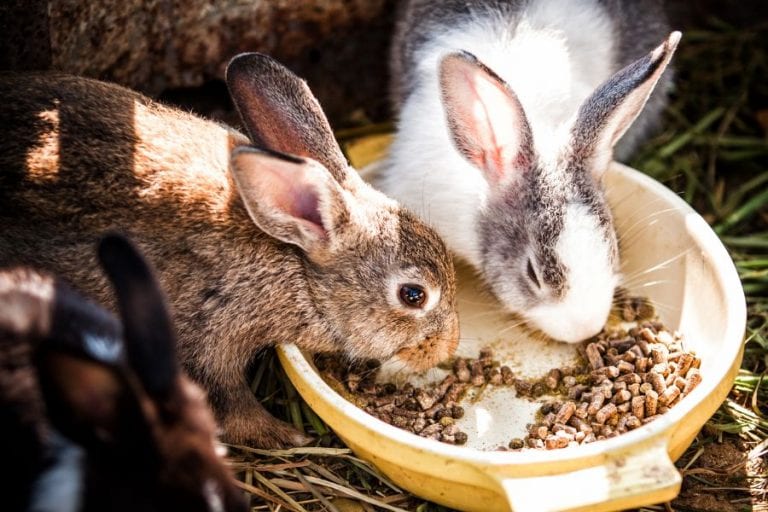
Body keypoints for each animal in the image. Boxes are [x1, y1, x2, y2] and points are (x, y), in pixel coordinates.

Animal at [0, 52, 459, 449]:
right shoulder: (204, 341)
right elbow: (229, 404)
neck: (295, 263)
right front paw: (284, 435)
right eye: (413, 295)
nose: (449, 345)